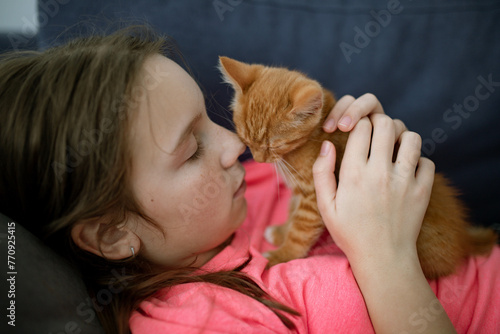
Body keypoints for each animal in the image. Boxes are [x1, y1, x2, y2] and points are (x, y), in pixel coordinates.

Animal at [219, 56, 496, 278]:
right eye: (245, 140)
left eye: (274, 145)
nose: (258, 159)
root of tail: (463, 238)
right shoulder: (301, 191)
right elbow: (292, 211)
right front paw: (281, 231)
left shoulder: (314, 195)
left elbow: (302, 228)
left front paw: (282, 254)